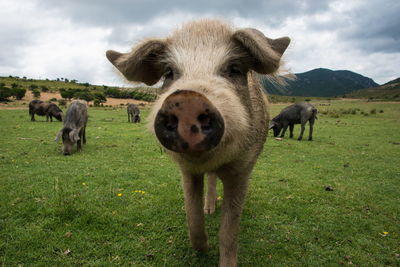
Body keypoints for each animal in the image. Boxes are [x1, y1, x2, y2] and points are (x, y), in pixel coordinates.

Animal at [104, 19, 290, 267]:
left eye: (234, 69)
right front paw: (204, 247)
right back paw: (209, 210)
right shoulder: (187, 171)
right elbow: (192, 218)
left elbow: (229, 230)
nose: (188, 100)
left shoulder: (243, 169)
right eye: (169, 72)